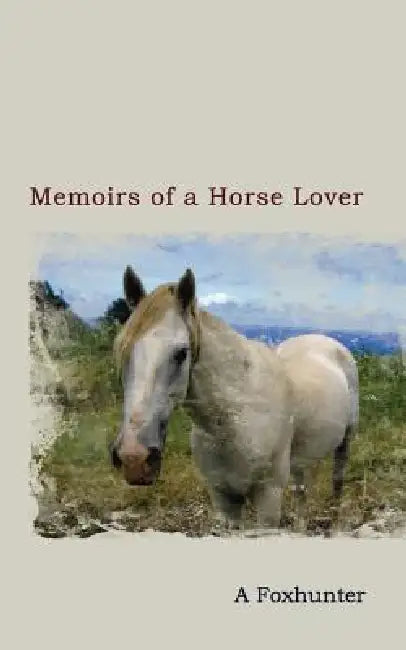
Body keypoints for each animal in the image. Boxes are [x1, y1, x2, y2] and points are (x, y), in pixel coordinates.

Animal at [109, 266, 359, 530]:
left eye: (181, 353)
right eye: (121, 350)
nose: (134, 457)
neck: (236, 417)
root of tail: (325, 340)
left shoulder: (269, 498)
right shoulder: (224, 499)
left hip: (345, 442)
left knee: (337, 481)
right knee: (302, 489)